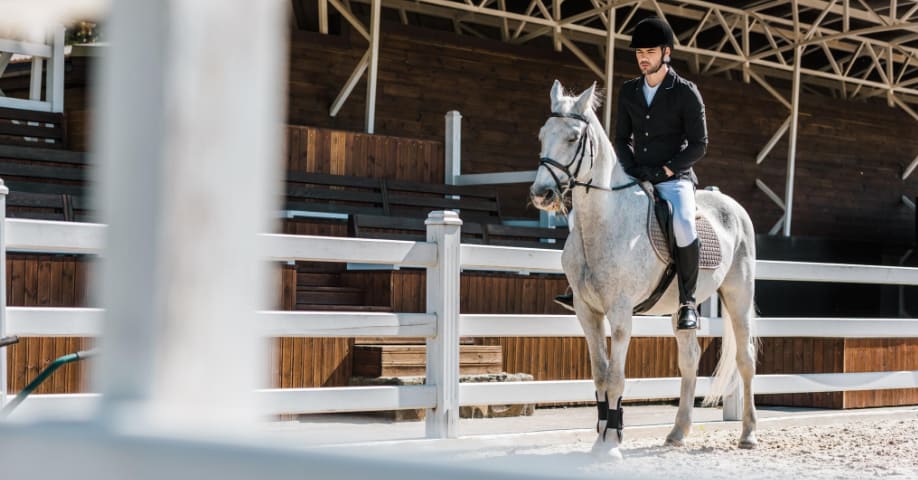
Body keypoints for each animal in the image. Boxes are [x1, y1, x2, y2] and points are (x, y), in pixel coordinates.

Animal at [528, 80, 760, 460]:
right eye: (542, 135)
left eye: (574, 138)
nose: (541, 194)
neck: (603, 223)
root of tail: (731, 205)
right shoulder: (586, 312)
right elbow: (599, 375)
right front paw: (602, 439)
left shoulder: (621, 313)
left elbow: (616, 378)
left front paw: (611, 444)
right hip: (683, 308)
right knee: (690, 359)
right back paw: (678, 432)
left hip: (738, 295)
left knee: (745, 359)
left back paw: (749, 434)